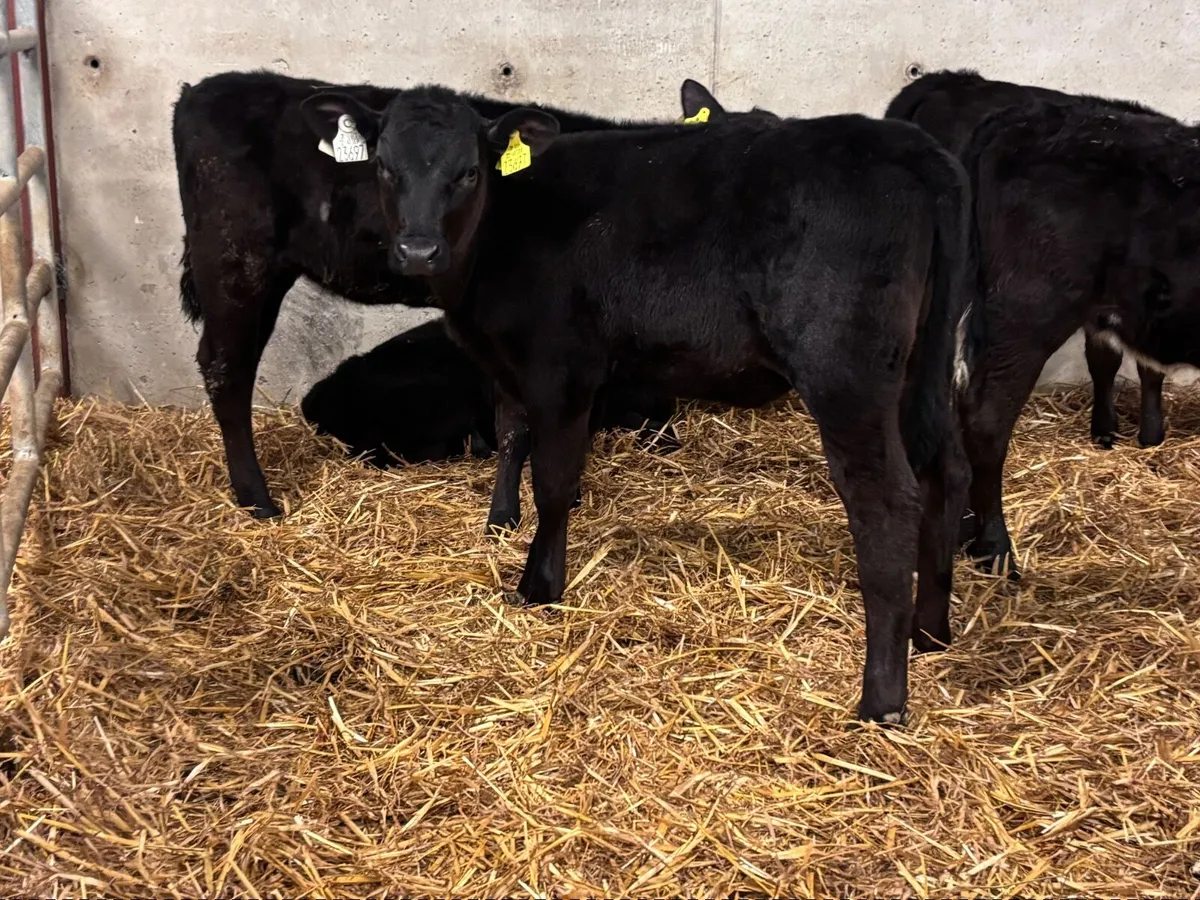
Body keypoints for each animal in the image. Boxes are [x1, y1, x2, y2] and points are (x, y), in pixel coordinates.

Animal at [294, 84, 977, 722]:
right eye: (386, 167)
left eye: (468, 172)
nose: (417, 250)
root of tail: (907, 144)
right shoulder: (511, 366)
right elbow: (512, 434)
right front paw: (500, 521)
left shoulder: (561, 367)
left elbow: (554, 478)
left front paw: (540, 585)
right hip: (922, 364)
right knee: (946, 469)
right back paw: (930, 632)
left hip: (845, 373)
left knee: (887, 501)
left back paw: (881, 699)